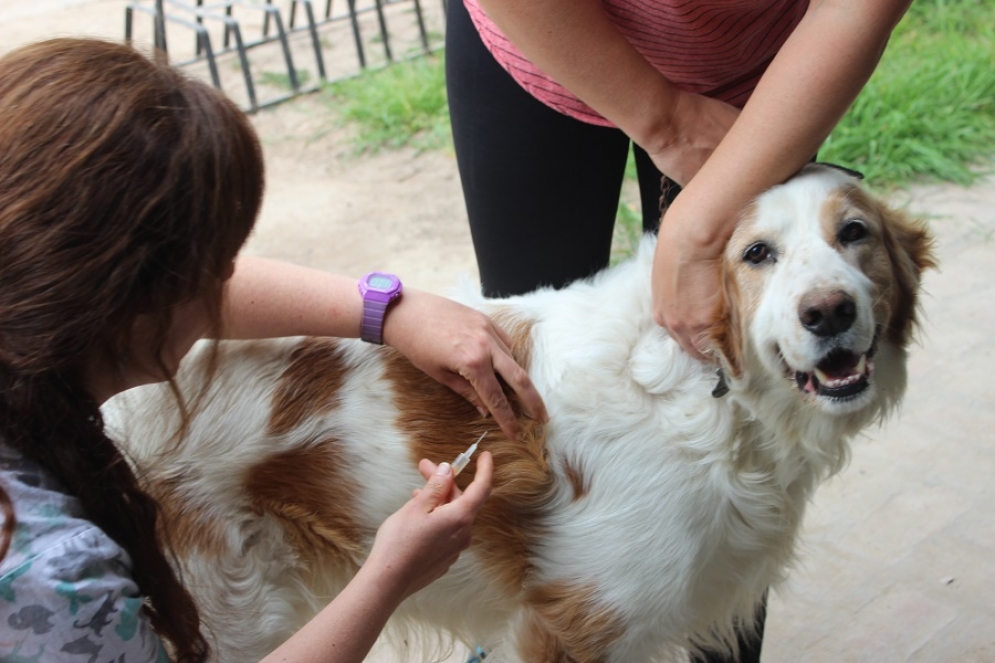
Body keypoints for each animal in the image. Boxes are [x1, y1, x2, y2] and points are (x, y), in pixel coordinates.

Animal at [107, 163, 932, 660]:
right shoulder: (571, 624)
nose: (828, 311)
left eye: (852, 234)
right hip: (230, 616)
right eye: (756, 253)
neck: (710, 398)